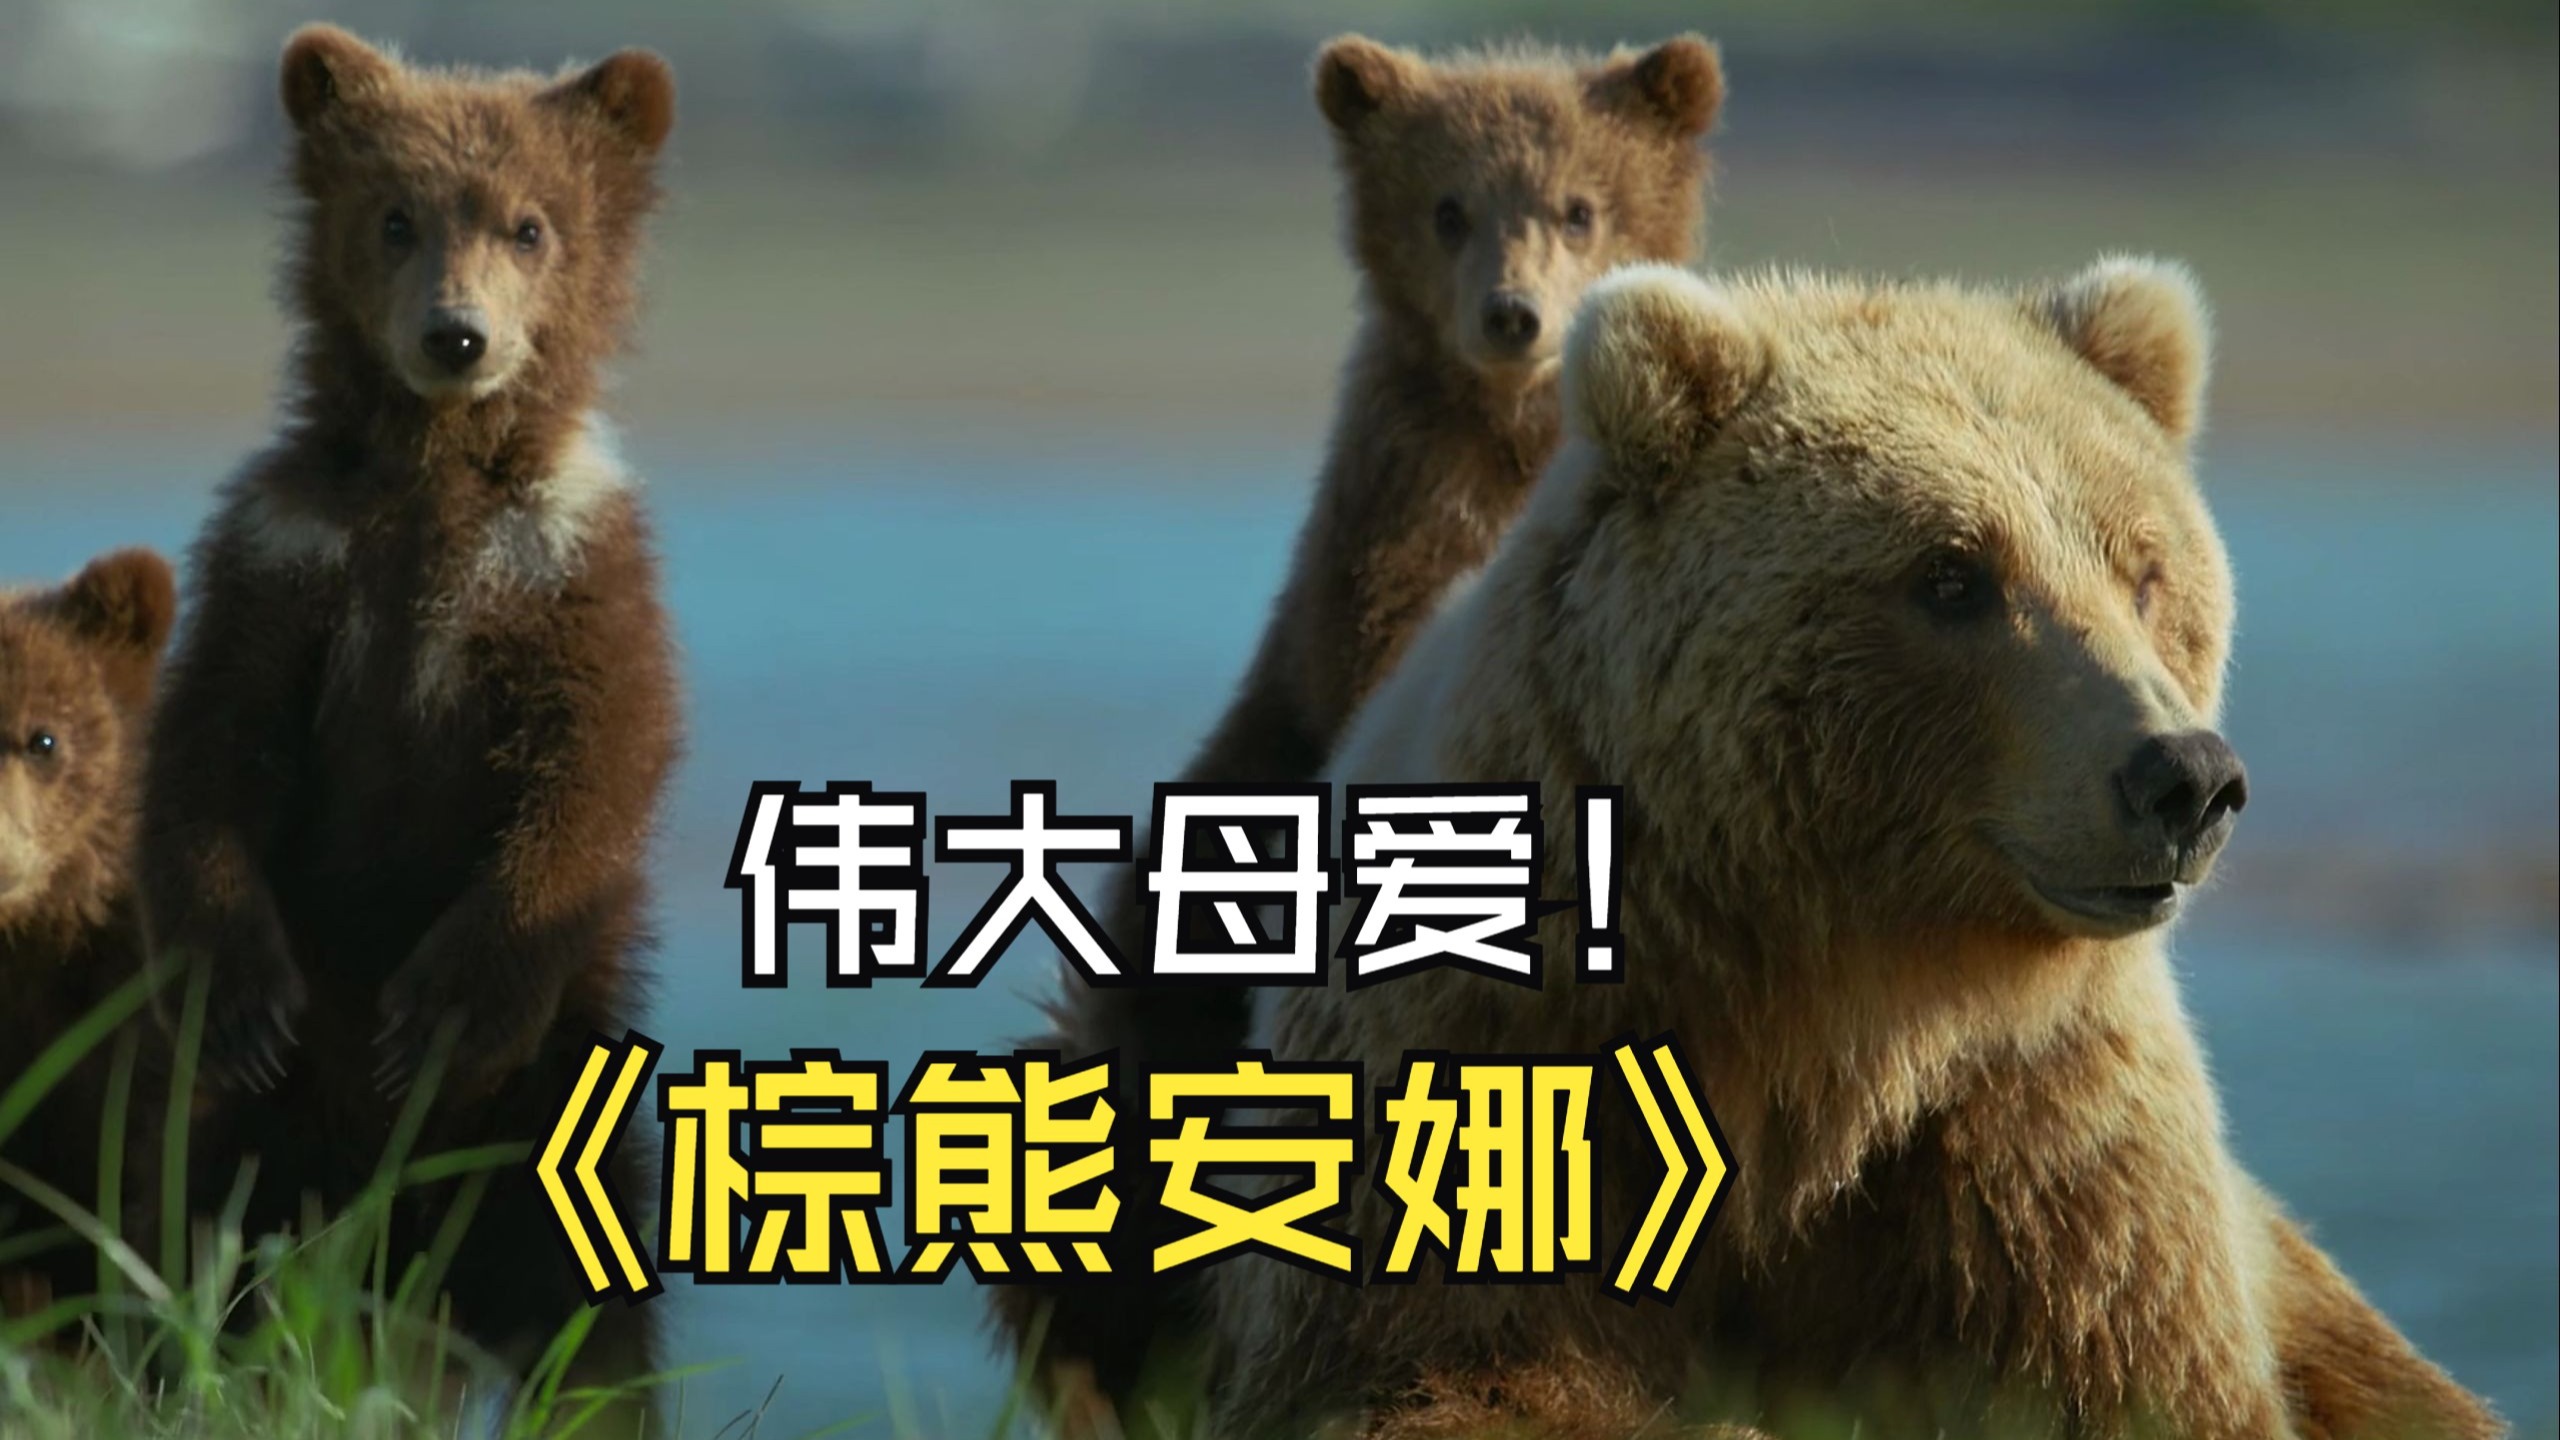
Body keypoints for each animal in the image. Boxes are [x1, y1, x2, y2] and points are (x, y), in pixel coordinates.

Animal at [135, 26, 680, 1418]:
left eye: (530, 224)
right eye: (395, 216)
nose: (457, 335)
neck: (439, 480)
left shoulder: (568, 565)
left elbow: (593, 767)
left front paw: (442, 1008)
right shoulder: (286, 555)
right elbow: (213, 750)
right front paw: (243, 992)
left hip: (553, 1122)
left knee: (587, 1317)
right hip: (273, 1156)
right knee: (223, 1264)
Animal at [1205, 261, 2505, 1440]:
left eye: (2142, 569)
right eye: (1952, 573)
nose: (2182, 778)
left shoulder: (2035, 1135)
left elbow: (2138, 1370)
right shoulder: (1494, 1057)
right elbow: (1456, 1371)